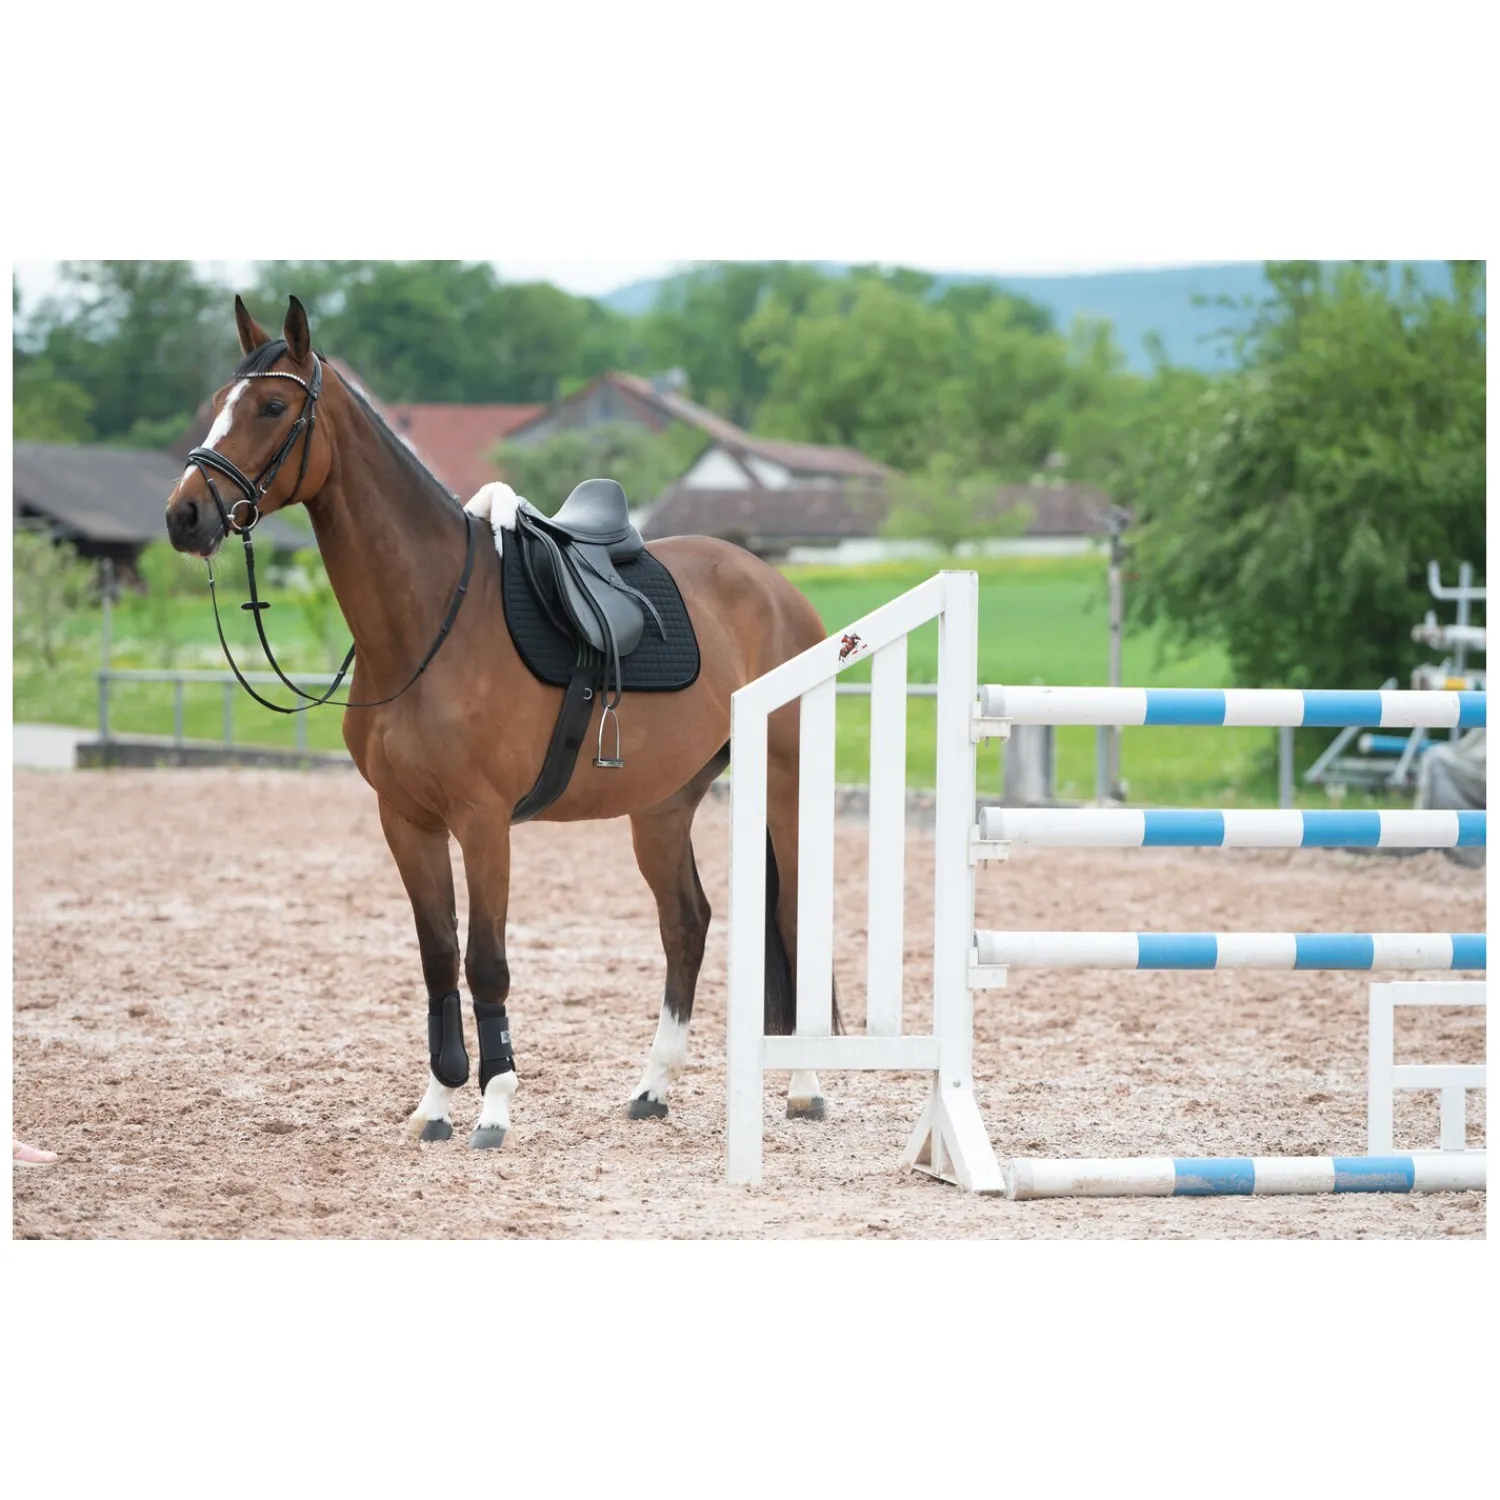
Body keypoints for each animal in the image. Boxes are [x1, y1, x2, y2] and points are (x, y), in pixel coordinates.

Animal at [163, 294, 838, 1150]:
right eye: (220, 401)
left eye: (273, 408)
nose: (185, 515)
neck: (430, 621)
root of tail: (777, 589)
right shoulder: (406, 820)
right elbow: (437, 955)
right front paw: (437, 1101)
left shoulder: (482, 821)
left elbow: (486, 959)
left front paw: (494, 1105)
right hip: (662, 806)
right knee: (686, 923)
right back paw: (653, 1087)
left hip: (783, 785)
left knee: (793, 918)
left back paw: (807, 1088)